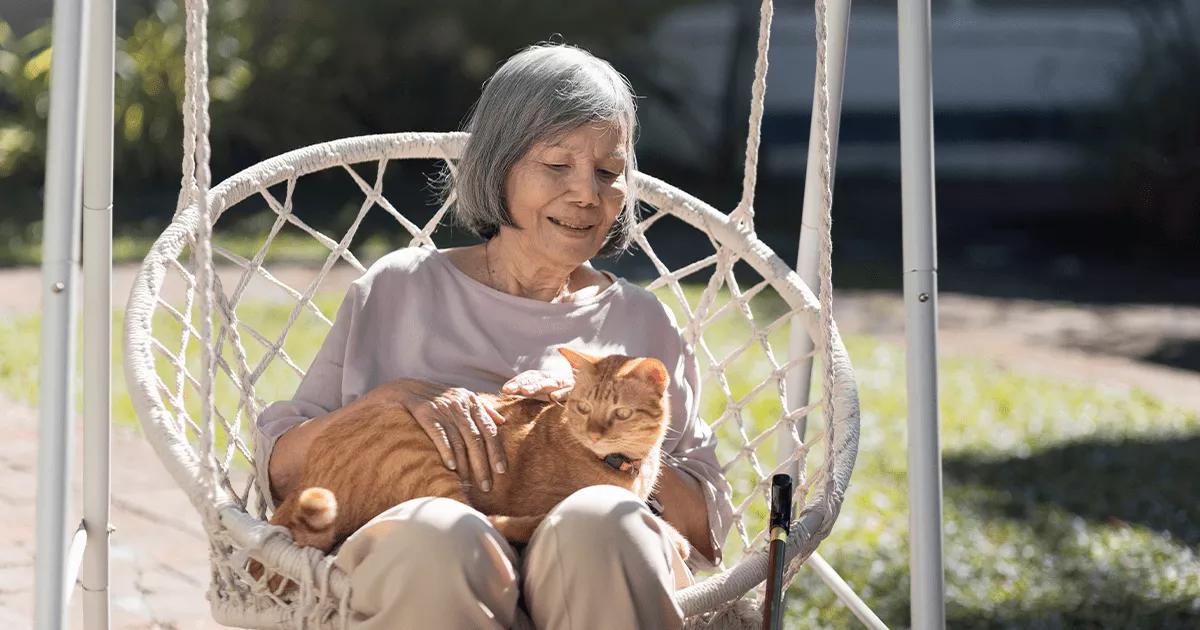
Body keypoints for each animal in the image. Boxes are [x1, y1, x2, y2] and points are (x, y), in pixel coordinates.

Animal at [268, 345, 691, 561]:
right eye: (583, 408)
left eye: (620, 413)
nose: (594, 433)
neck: (624, 466)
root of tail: (306, 480)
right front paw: (672, 539)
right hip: (423, 465)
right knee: (480, 519)